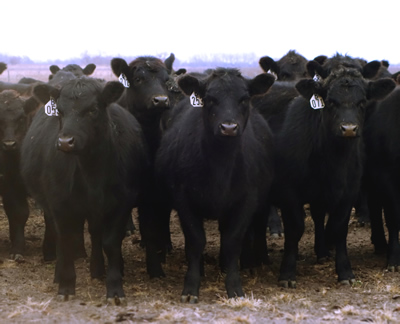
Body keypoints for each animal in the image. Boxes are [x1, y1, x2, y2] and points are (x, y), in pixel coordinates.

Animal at [20, 78, 148, 304]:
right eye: (60, 111)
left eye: (93, 110)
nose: (65, 142)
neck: (91, 173)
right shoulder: (60, 204)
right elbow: (66, 240)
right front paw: (66, 285)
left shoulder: (121, 203)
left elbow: (110, 243)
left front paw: (115, 288)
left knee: (95, 234)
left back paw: (97, 269)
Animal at [155, 67, 276, 302]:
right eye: (210, 99)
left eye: (244, 99)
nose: (228, 127)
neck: (221, 165)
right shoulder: (184, 200)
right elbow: (195, 241)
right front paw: (191, 287)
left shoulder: (246, 200)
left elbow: (232, 241)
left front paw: (234, 286)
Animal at [274, 67, 396, 288]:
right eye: (330, 102)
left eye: (362, 102)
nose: (348, 129)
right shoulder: (289, 194)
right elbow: (295, 229)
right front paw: (287, 274)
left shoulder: (348, 193)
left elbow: (338, 228)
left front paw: (345, 272)